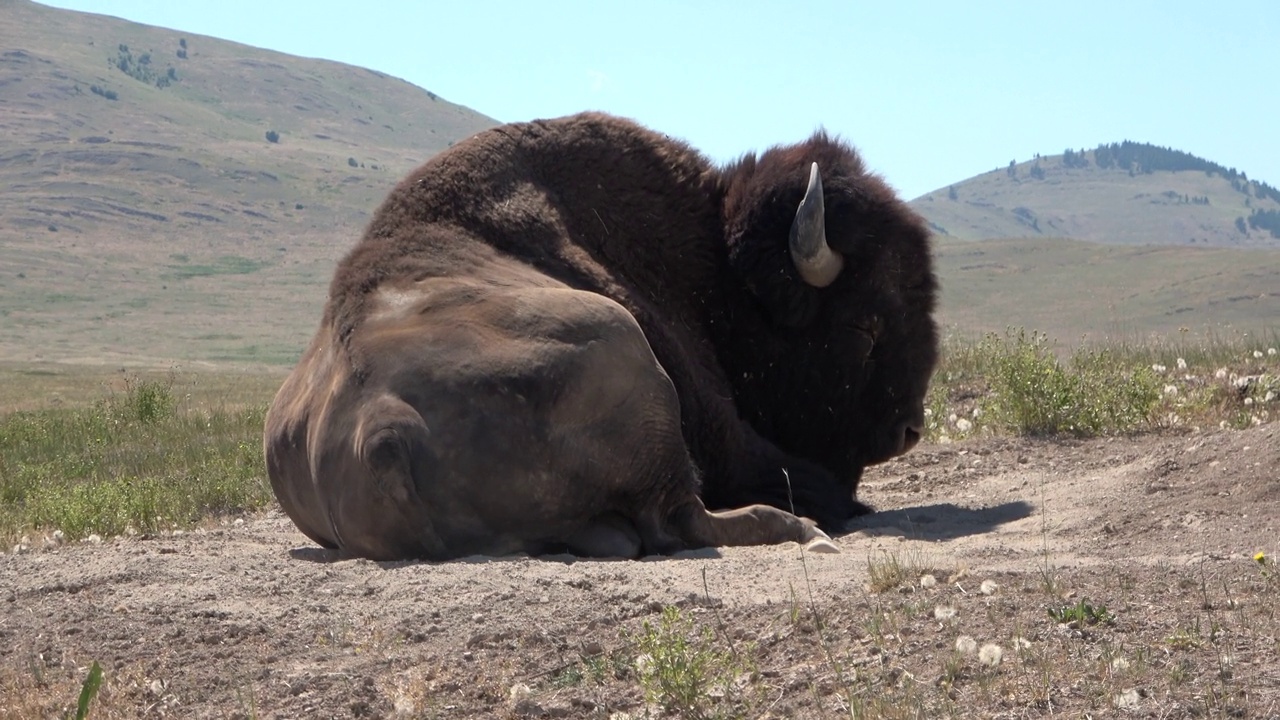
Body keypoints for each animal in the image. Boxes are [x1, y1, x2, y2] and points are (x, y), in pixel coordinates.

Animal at [262, 112, 942, 561]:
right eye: (865, 326)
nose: (909, 429)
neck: (715, 268)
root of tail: (385, 429)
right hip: (625, 347)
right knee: (684, 521)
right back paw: (805, 530)